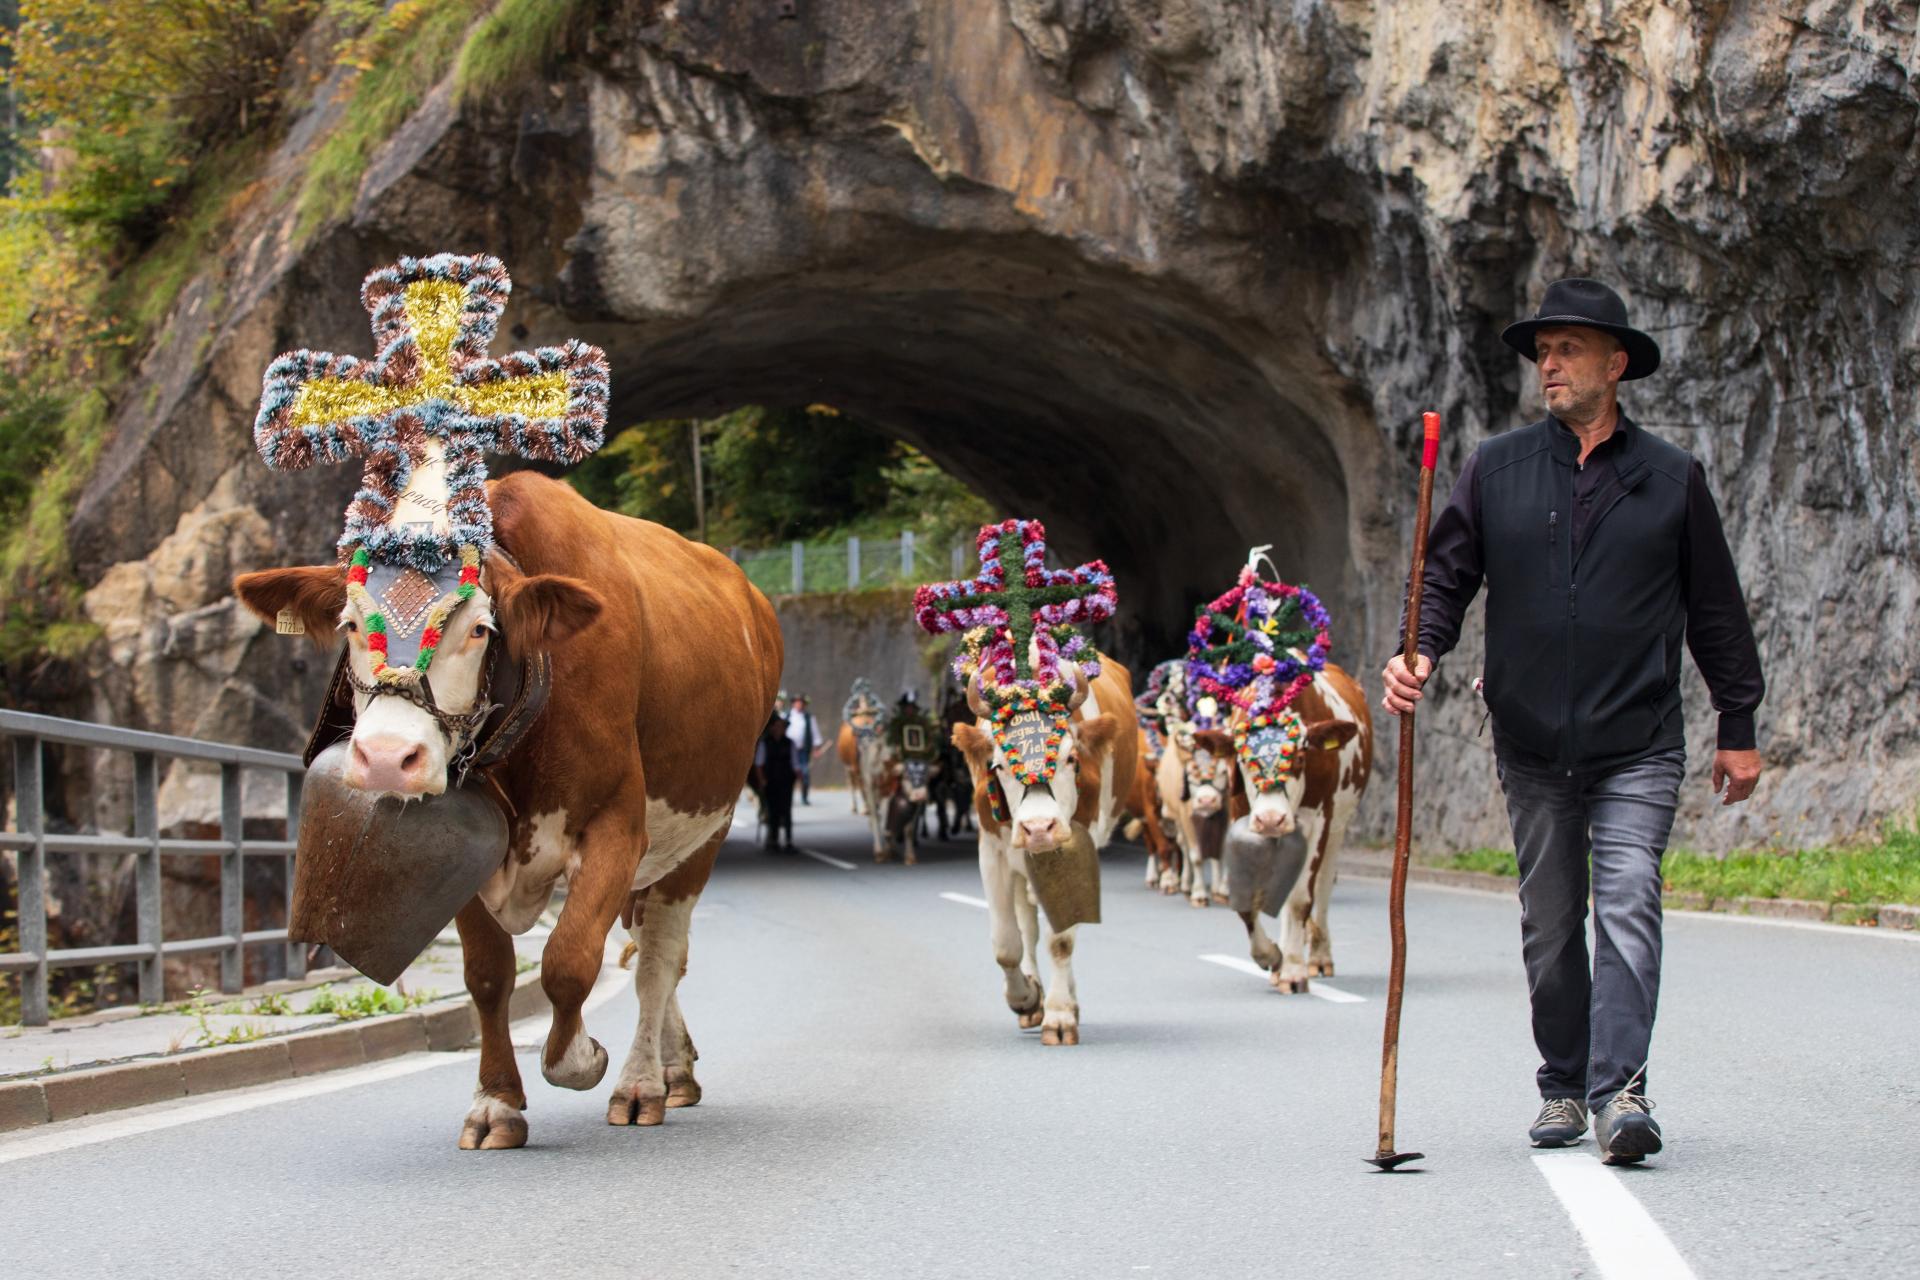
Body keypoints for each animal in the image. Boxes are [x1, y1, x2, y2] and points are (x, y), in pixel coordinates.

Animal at [234, 474, 779, 1151]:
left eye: (477, 630)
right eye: (351, 624)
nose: (387, 757)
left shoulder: (618, 827)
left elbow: (570, 960)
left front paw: (580, 1059)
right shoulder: (466, 852)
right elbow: (489, 975)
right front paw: (495, 1104)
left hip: (702, 836)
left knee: (658, 958)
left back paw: (641, 1083)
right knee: (650, 950)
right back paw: (675, 1069)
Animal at [948, 656, 1128, 1043]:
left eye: (1072, 758)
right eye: (998, 765)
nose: (1038, 828)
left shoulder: (1075, 846)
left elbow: (1061, 939)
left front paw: (1060, 1017)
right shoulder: (992, 851)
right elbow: (1006, 944)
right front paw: (1026, 998)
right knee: (1027, 927)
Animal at [1221, 667, 1374, 997]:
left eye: (1300, 758)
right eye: (1244, 759)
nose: (1271, 819)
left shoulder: (1317, 819)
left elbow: (1302, 898)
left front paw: (1292, 970)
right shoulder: (1240, 812)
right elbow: (1247, 901)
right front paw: (1270, 957)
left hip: (1338, 824)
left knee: (1322, 887)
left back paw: (1318, 957)